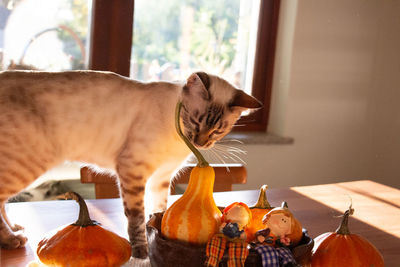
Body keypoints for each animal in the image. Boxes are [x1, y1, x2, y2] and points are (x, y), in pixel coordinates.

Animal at [0, 70, 262, 260]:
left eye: (217, 131)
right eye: (194, 122)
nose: (200, 143)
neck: (178, 139)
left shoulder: (161, 178)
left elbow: (158, 209)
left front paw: (156, 230)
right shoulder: (133, 170)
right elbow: (136, 217)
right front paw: (142, 251)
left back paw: (15, 230)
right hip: (27, 163)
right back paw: (11, 240)